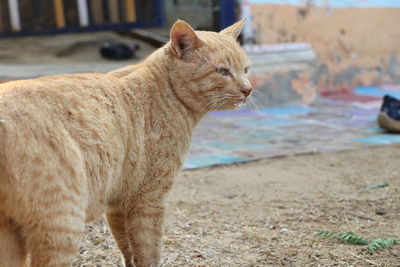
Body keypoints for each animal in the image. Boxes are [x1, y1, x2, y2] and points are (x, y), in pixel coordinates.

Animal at [0, 19, 250, 267]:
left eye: (246, 69)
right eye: (222, 71)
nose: (248, 89)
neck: (166, 92)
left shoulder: (118, 202)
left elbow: (127, 247)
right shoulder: (149, 199)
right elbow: (149, 251)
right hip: (62, 222)